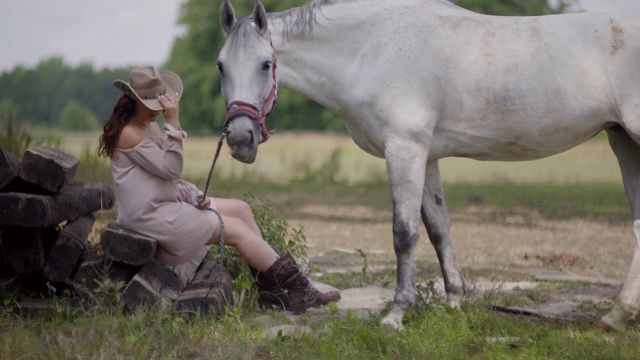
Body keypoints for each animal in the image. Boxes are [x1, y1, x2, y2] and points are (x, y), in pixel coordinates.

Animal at [218, 0, 640, 332]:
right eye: (221, 66)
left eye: (266, 64)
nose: (239, 137)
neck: (373, 49)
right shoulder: (428, 155)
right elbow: (438, 229)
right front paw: (454, 303)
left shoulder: (405, 150)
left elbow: (404, 233)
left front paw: (396, 314)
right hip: (623, 142)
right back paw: (616, 317)